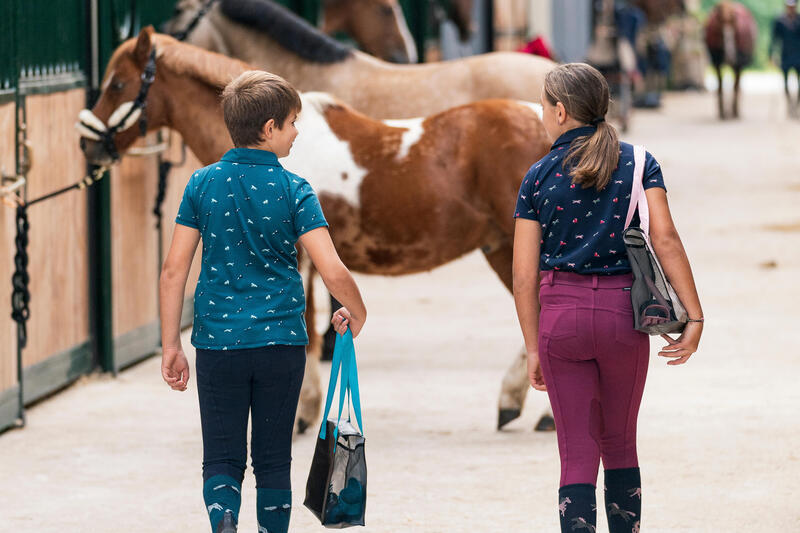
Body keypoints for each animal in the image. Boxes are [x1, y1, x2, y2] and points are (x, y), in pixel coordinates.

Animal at [79, 30, 556, 432]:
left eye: (117, 85)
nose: (88, 146)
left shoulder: (301, 254)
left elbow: (304, 323)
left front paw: (299, 415)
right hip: (502, 248)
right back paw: (514, 403)